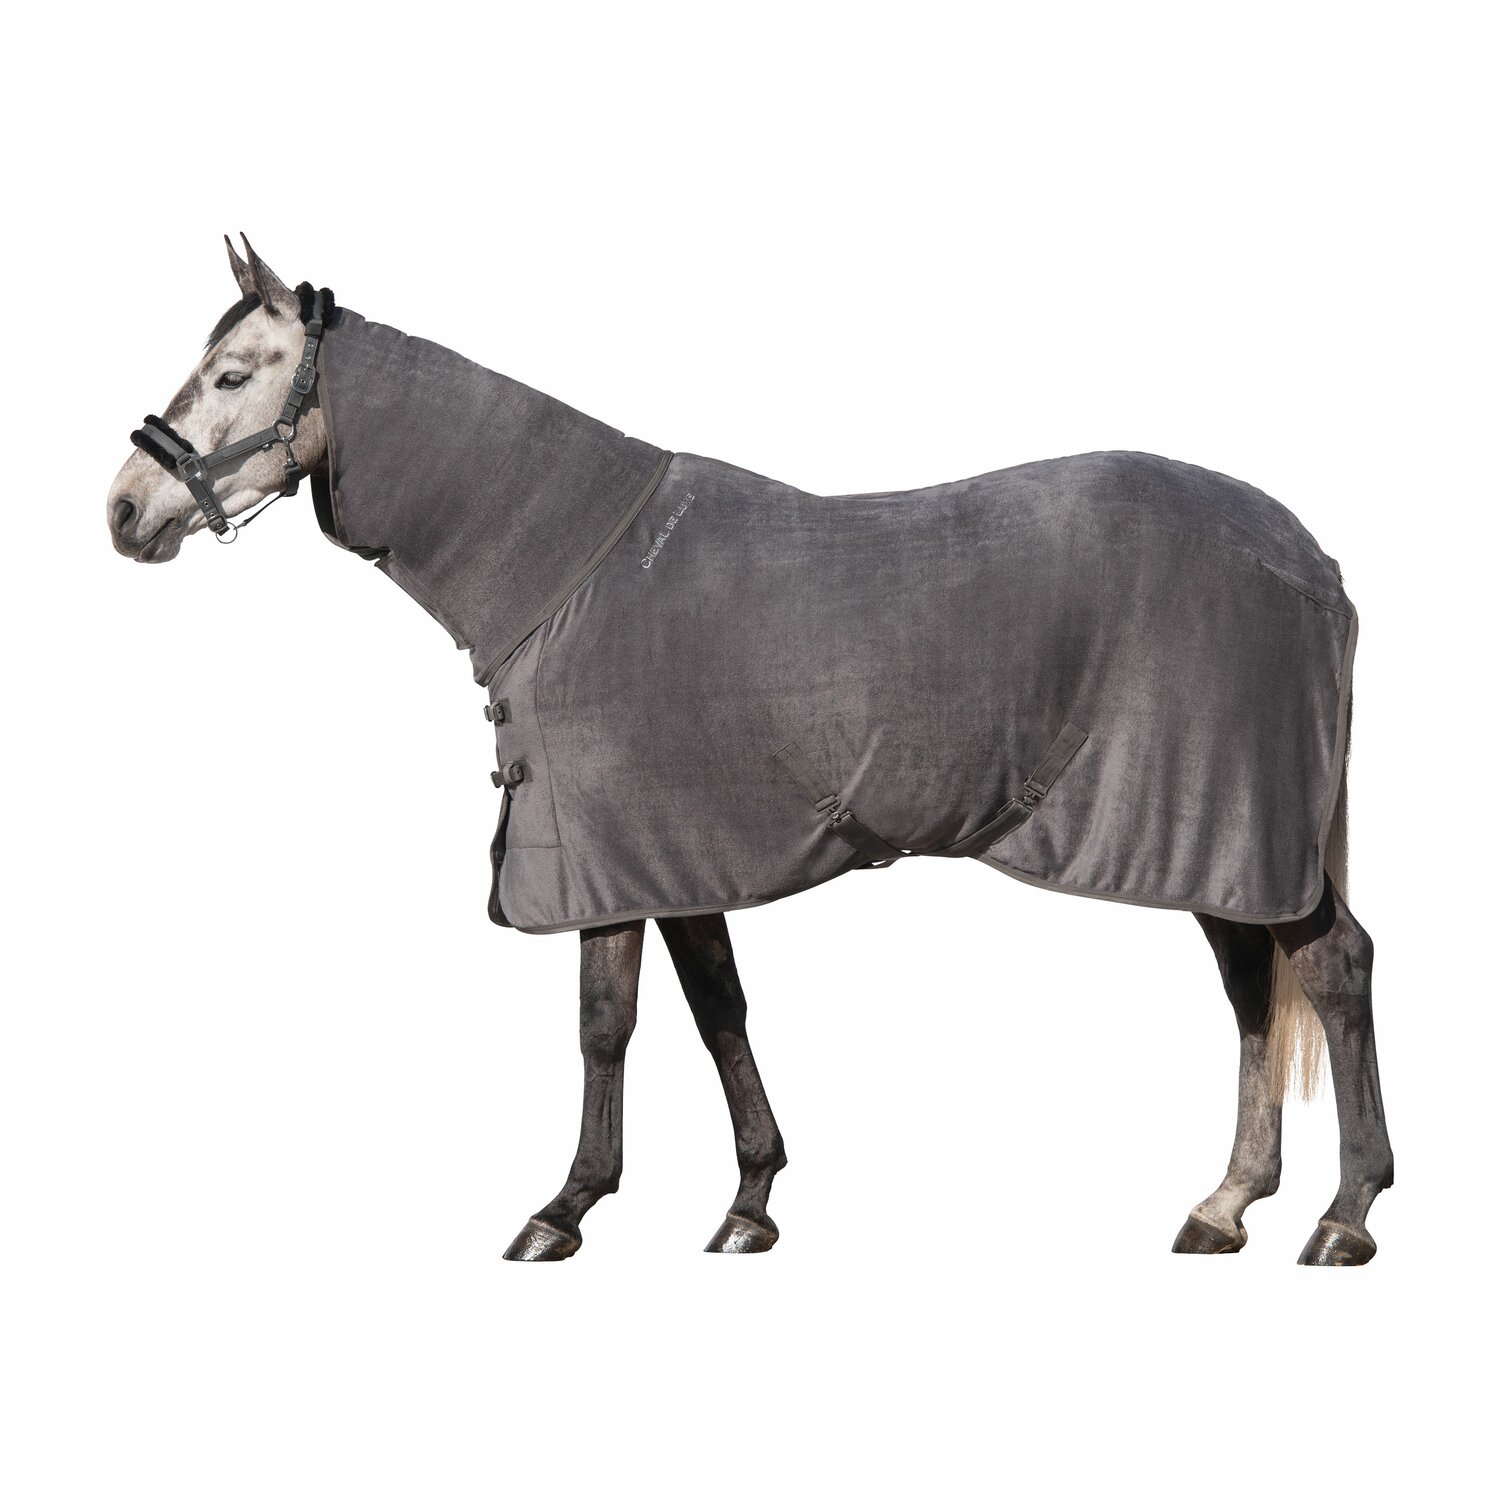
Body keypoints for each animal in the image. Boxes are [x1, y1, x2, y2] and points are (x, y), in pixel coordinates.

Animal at [106, 235, 1393, 1265]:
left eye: (232, 375)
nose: (123, 510)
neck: (570, 564)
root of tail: (1309, 558)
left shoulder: (604, 855)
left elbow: (607, 1023)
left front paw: (564, 1209)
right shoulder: (680, 856)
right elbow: (718, 1005)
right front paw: (751, 1202)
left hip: (1236, 823)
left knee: (1330, 969)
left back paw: (1344, 1217)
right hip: (1220, 840)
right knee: (1249, 985)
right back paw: (1226, 1203)